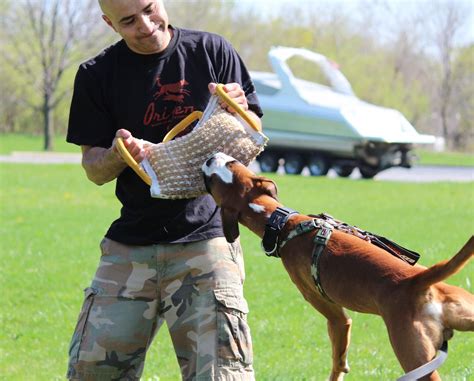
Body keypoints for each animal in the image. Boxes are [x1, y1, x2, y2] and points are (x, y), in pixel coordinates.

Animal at [203, 152, 474, 380]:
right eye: (232, 164)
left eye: (221, 172)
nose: (210, 157)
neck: (283, 224)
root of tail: (416, 281)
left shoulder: (335, 317)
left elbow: (337, 361)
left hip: (415, 358)